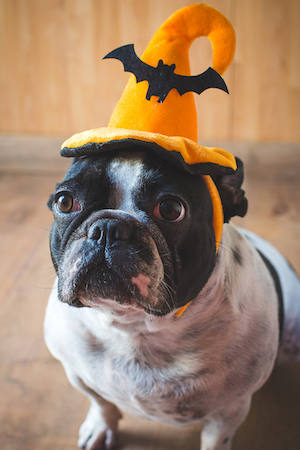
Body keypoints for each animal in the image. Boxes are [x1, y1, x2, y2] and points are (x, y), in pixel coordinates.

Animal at [44, 148, 300, 450]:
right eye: (65, 201)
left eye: (170, 209)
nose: (108, 227)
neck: (135, 328)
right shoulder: (77, 372)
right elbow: (100, 402)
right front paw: (101, 427)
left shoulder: (230, 409)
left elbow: (215, 441)